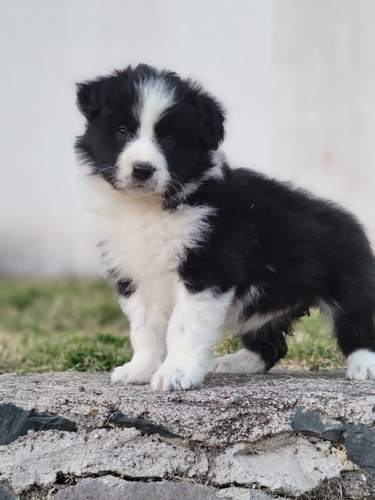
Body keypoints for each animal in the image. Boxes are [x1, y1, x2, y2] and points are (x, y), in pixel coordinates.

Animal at [75, 63, 375, 390]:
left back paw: (365, 366)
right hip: (269, 302)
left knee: (358, 325)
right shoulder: (135, 272)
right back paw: (234, 363)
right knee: (271, 345)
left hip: (350, 285)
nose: (142, 169)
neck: (149, 207)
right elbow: (145, 326)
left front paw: (176, 373)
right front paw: (140, 368)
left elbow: (183, 325)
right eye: (122, 131)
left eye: (170, 139)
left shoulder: (207, 269)